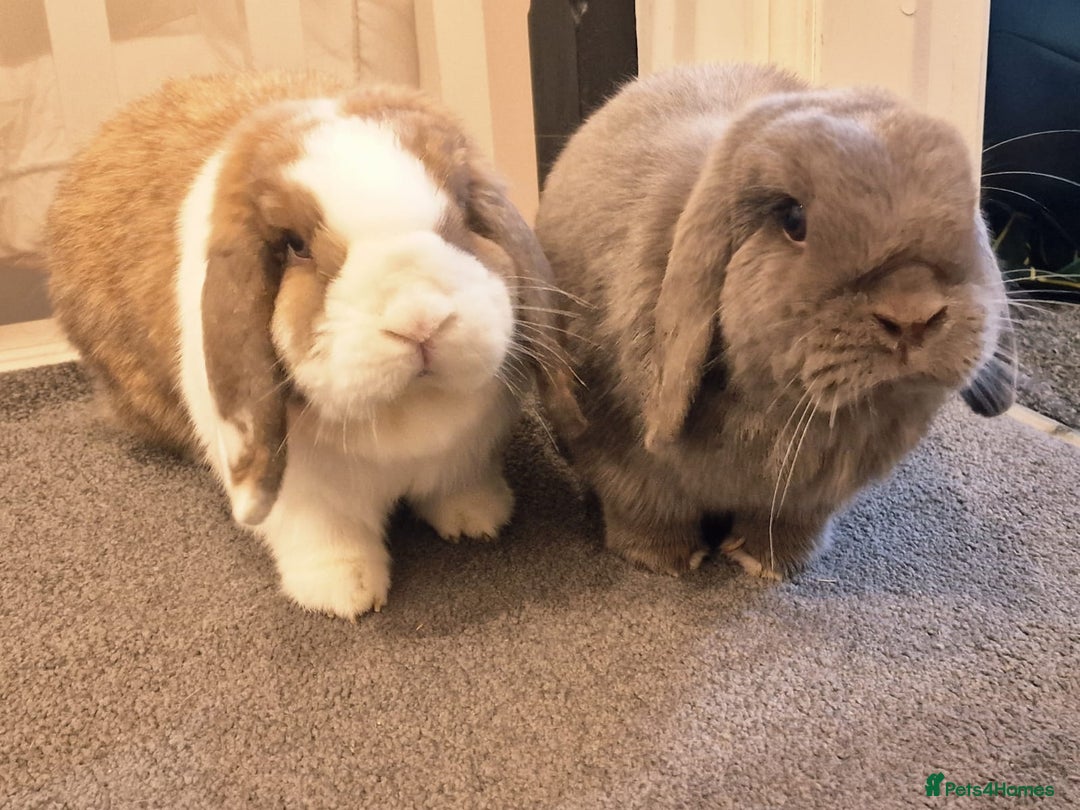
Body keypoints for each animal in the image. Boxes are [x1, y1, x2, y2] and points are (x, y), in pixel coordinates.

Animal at [47, 72, 582, 619]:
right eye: (295, 245)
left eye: (462, 209)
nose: (420, 320)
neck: (406, 415)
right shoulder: (304, 498)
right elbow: (325, 537)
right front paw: (344, 595)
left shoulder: (468, 452)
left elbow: (460, 482)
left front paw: (478, 518)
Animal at [534, 63, 1017, 579]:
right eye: (793, 219)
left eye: (967, 207)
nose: (914, 316)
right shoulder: (621, 457)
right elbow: (645, 507)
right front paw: (669, 561)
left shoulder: (809, 498)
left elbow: (786, 520)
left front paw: (769, 563)